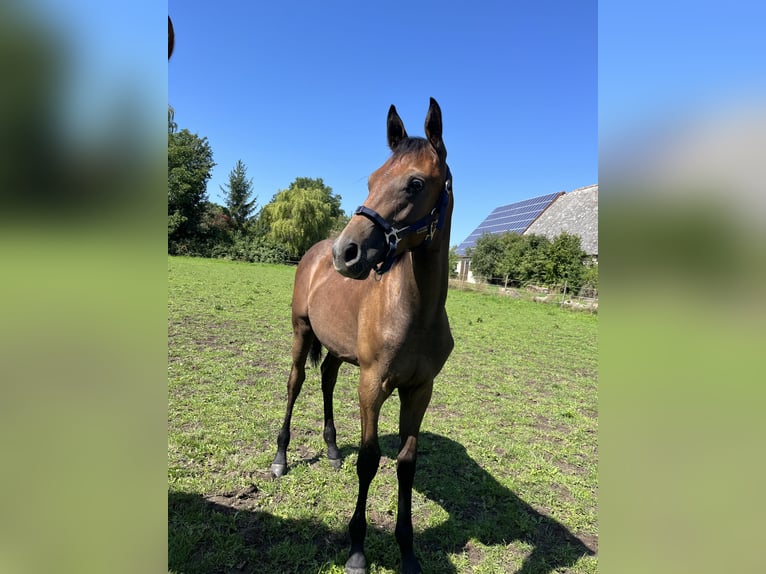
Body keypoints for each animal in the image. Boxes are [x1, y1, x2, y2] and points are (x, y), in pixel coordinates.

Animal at [272, 100, 456, 574]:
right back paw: (280, 458)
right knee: (296, 383)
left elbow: (407, 463)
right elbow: (371, 461)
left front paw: (407, 551)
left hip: (338, 351)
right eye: (372, 179)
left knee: (327, 380)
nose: (347, 252)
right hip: (301, 332)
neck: (416, 313)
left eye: (415, 183)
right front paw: (356, 550)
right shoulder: (373, 385)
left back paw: (334, 449)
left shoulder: (420, 390)